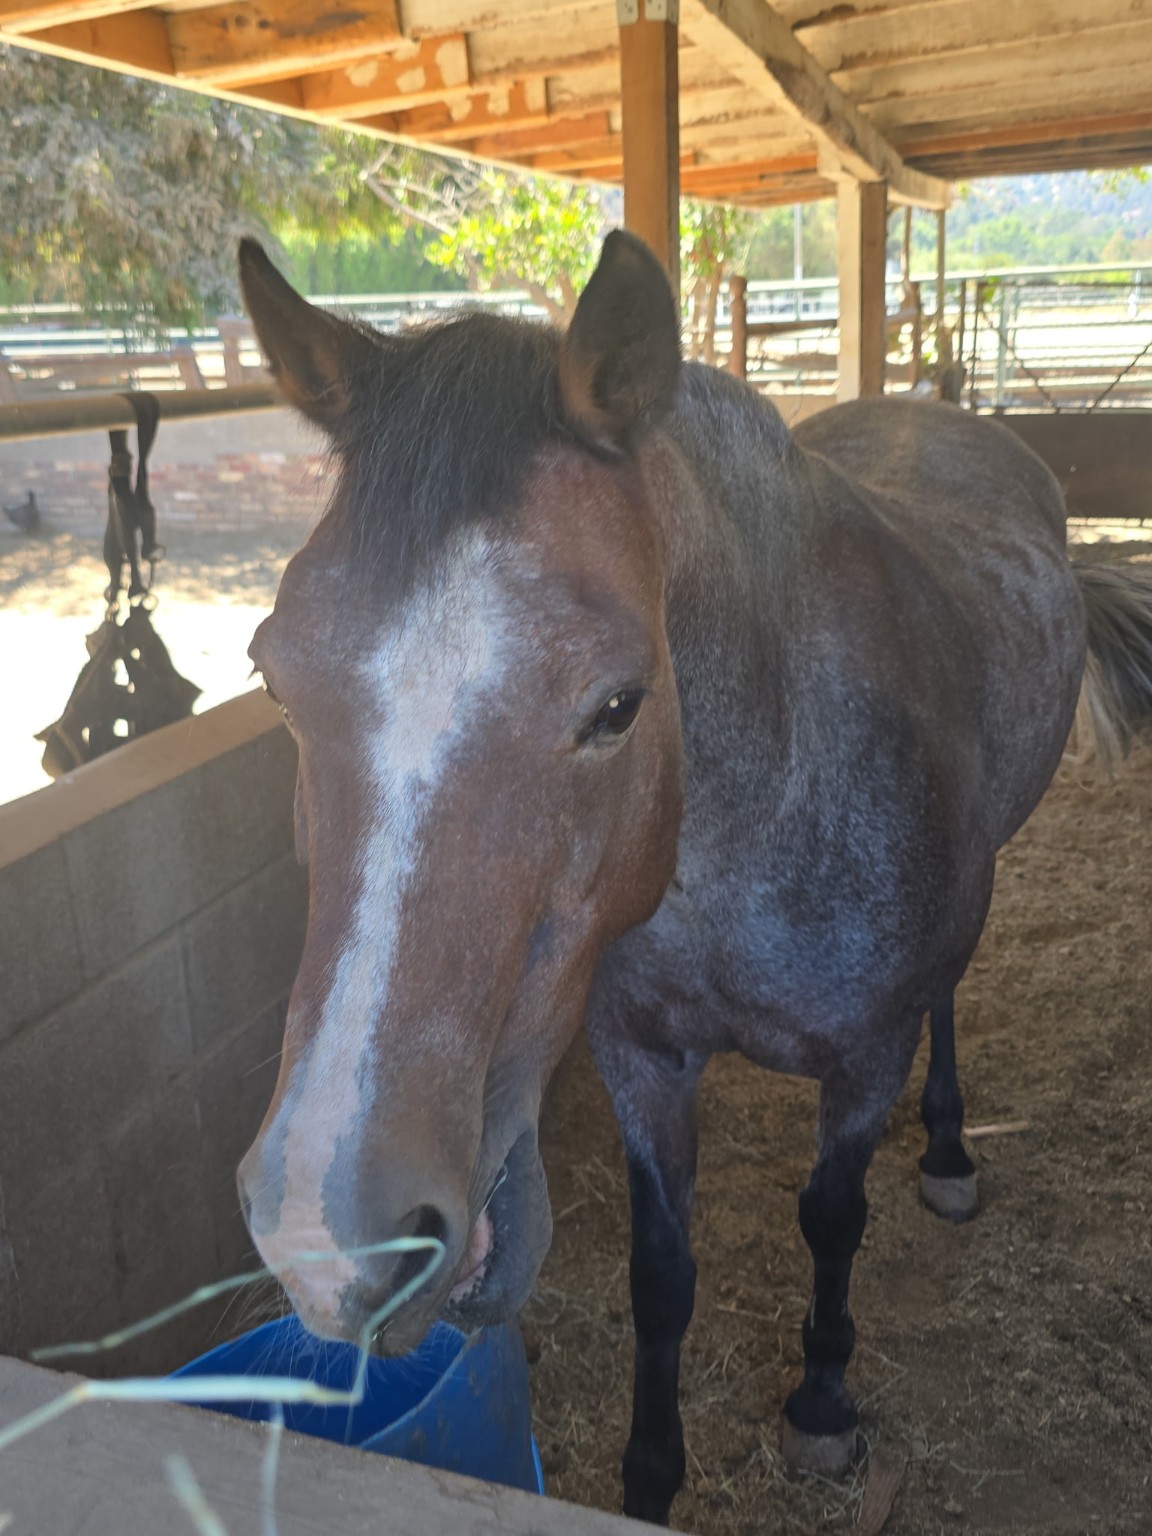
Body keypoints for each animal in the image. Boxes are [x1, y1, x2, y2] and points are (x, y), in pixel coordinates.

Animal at [235, 231, 1152, 1525]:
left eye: (620, 704)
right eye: (273, 676)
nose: (332, 1233)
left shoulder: (864, 1061)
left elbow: (831, 1216)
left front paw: (822, 1403)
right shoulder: (643, 1061)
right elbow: (661, 1276)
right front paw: (649, 1475)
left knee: (948, 998)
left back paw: (950, 1151)